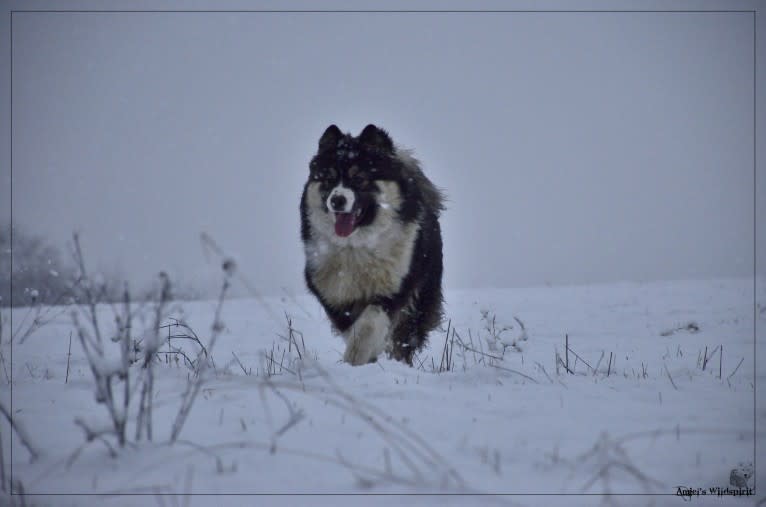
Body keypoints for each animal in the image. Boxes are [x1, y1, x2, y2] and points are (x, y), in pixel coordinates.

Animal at [300, 125, 444, 368]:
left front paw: (357, 355)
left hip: (421, 296)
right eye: (328, 179)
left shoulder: (393, 287)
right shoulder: (333, 292)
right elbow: (350, 327)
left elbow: (369, 324)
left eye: (359, 179)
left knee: (405, 338)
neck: (355, 247)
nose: (337, 200)